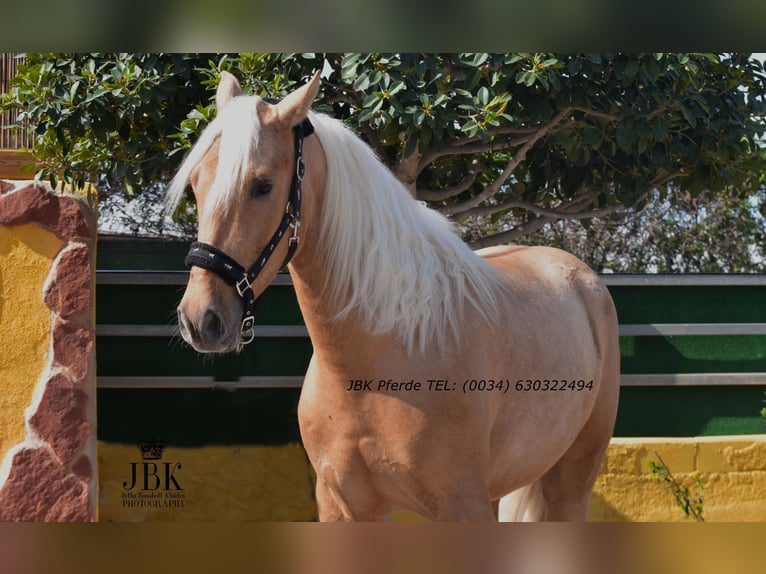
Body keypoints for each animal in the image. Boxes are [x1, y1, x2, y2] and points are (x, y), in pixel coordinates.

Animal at [167, 71, 621, 521]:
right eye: (196, 183)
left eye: (262, 186)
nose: (200, 319)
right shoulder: (343, 507)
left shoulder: (460, 506)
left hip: (572, 480)